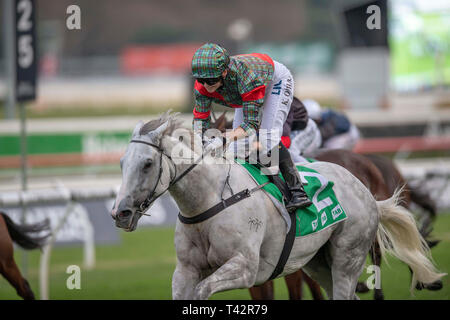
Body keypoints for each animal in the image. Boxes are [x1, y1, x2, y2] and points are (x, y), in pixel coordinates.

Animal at [111, 113, 442, 300]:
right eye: (122, 162)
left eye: (148, 163)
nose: (120, 213)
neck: (210, 200)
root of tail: (365, 190)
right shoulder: (186, 271)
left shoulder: (245, 268)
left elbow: (205, 290)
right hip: (317, 262)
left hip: (348, 257)